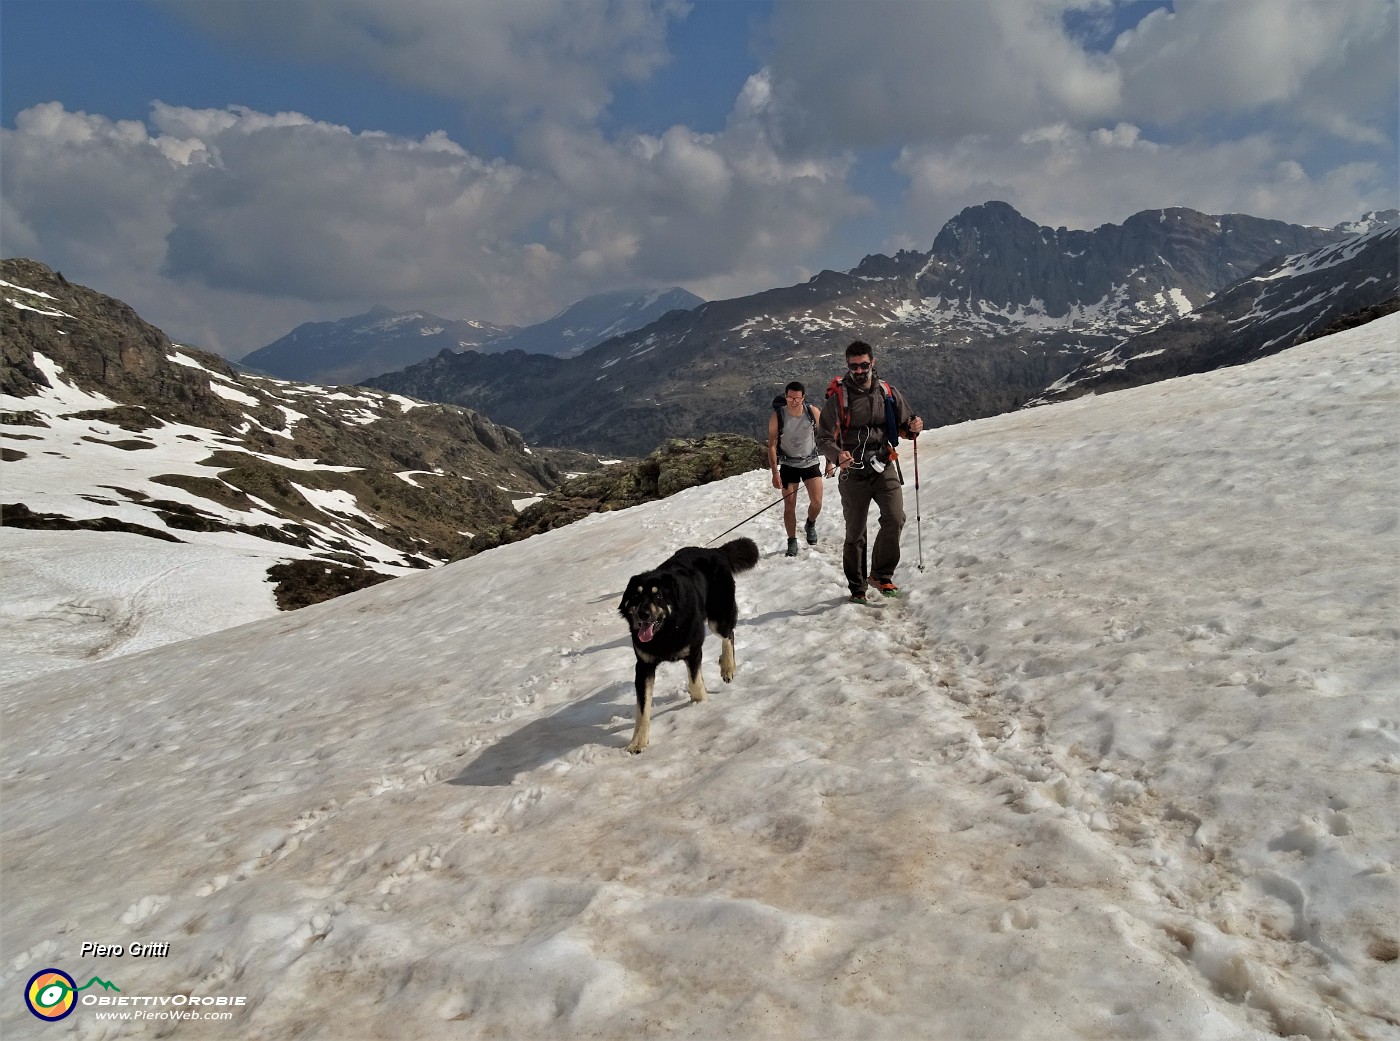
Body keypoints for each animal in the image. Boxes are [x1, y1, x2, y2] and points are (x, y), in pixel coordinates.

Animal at [618, 540, 761, 749]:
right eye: (636, 597)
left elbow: (694, 682)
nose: (643, 614)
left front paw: (699, 704)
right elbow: (643, 709)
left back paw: (727, 667)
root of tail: (714, 551)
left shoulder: (693, 651)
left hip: (718, 615)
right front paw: (638, 742)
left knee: (728, 634)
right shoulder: (644, 666)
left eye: (658, 596)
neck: (666, 631)